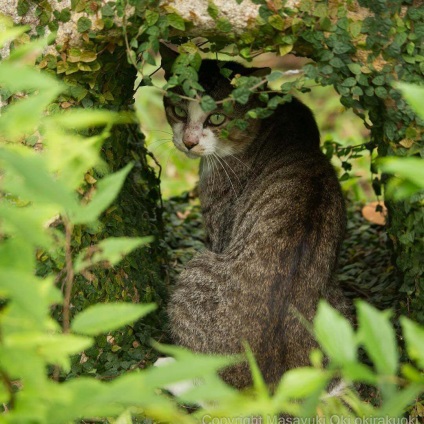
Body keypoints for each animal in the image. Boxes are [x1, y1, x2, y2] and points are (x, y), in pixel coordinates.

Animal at [161, 44, 350, 390]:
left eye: (217, 117)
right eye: (179, 111)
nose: (189, 142)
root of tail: (266, 384)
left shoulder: (218, 225)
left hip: (195, 273)